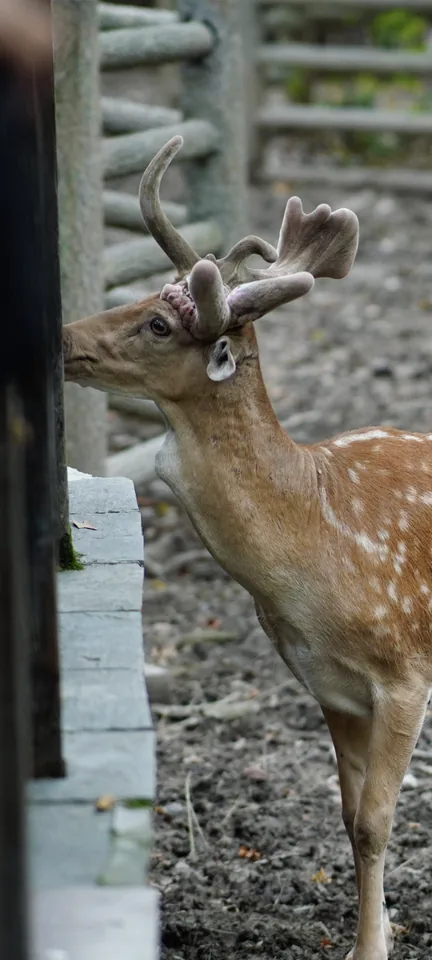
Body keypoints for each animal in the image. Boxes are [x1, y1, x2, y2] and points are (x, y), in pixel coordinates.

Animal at [63, 135, 432, 960]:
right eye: (149, 297)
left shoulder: (404, 673)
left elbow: (377, 821)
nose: (63, 338)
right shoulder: (328, 684)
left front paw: (372, 948)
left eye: (161, 324)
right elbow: (348, 819)